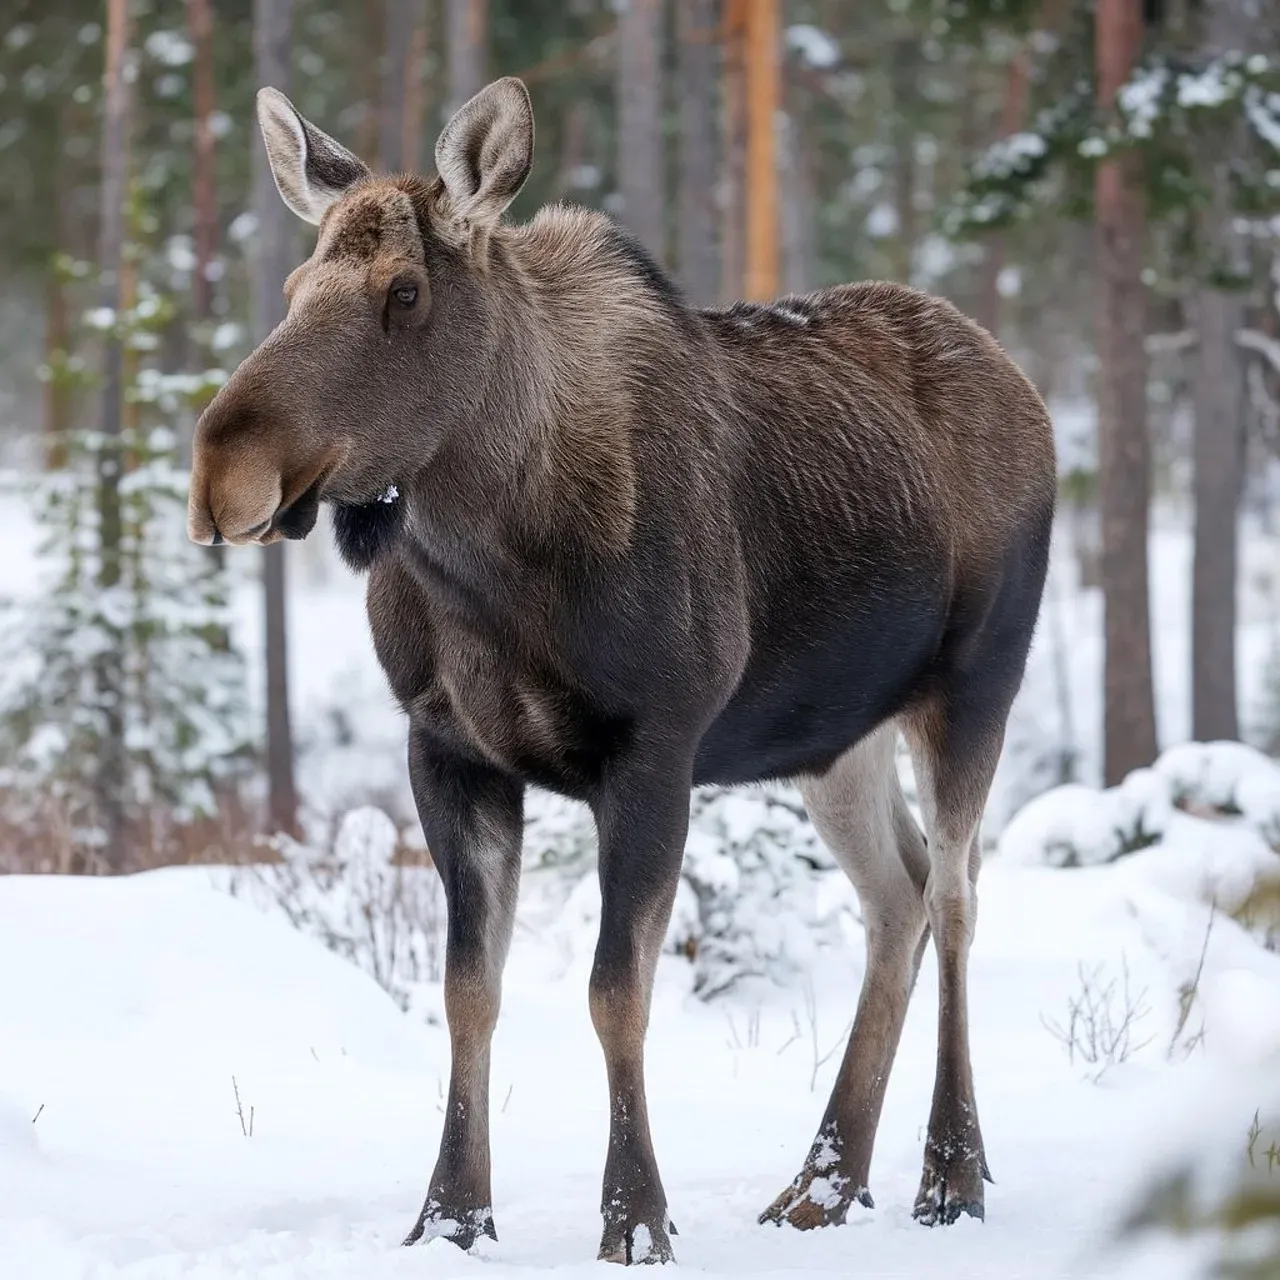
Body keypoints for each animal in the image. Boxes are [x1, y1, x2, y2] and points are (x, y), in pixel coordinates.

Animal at [187, 77, 1056, 1264]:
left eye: (404, 291)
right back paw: (821, 1186)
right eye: (289, 286)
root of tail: (1033, 396)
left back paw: (947, 1173)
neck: (484, 567)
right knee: (902, 892)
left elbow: (616, 992)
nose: (222, 468)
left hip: (975, 683)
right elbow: (469, 988)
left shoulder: (653, 746)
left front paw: (635, 1220)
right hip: (835, 737)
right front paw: (450, 1216)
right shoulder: (447, 747)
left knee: (961, 893)